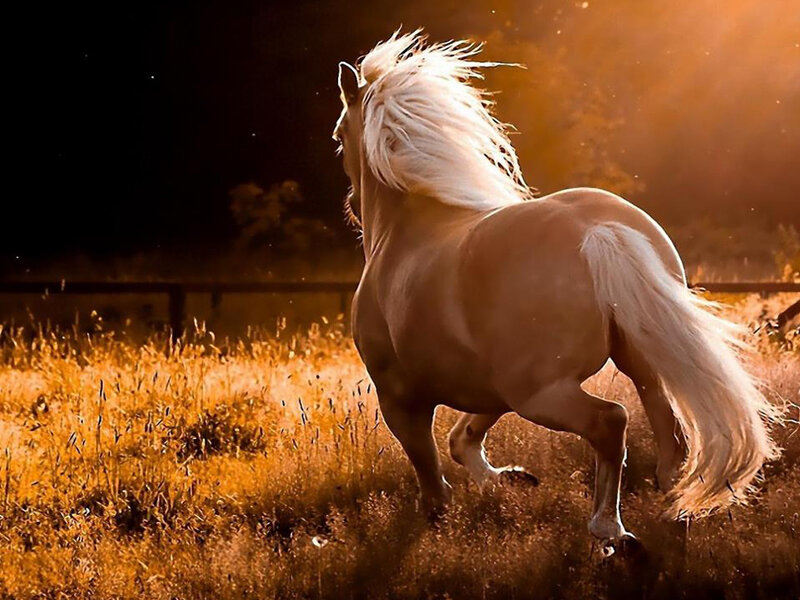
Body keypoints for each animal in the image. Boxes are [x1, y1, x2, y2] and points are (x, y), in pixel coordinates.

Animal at [332, 30, 778, 548]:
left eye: (339, 137)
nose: (352, 207)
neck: (405, 232)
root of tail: (598, 230)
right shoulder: (488, 386)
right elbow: (462, 439)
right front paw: (508, 479)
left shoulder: (400, 396)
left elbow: (430, 473)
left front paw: (438, 522)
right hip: (632, 363)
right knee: (668, 430)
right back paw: (673, 509)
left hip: (541, 393)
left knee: (611, 422)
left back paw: (611, 531)